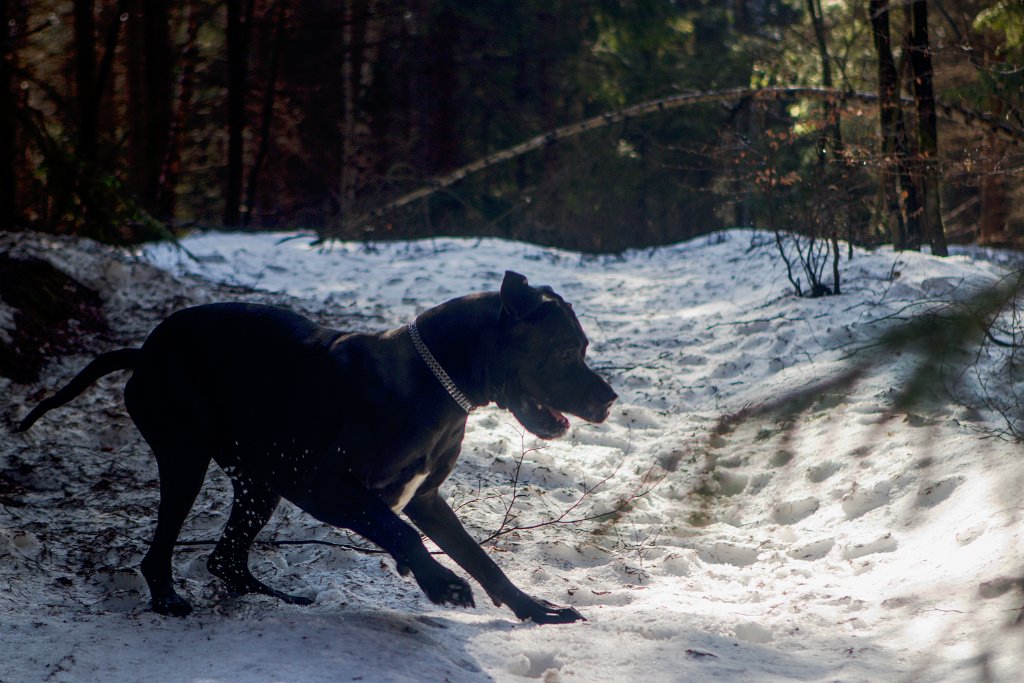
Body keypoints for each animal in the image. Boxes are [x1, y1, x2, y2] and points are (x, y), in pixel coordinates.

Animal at [18, 270, 614, 626]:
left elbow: (481, 557)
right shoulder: (326, 485)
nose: (609, 400)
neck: (435, 383)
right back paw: (167, 600)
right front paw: (439, 582)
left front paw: (533, 609)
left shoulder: (425, 499)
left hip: (258, 482)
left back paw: (281, 599)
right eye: (566, 352)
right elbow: (400, 531)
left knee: (225, 558)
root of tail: (142, 350)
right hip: (187, 460)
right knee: (162, 550)